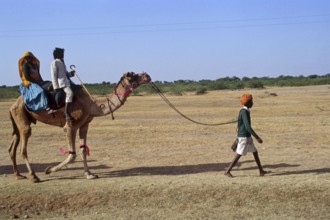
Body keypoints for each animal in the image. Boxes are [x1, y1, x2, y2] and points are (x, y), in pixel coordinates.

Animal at [8, 72, 151, 182]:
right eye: (131, 75)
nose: (147, 76)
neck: (91, 105)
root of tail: (13, 104)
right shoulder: (70, 126)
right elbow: (72, 154)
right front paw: (48, 170)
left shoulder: (84, 125)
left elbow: (83, 150)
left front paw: (89, 174)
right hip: (22, 117)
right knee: (23, 147)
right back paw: (34, 176)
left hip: (19, 119)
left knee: (12, 147)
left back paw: (18, 175)